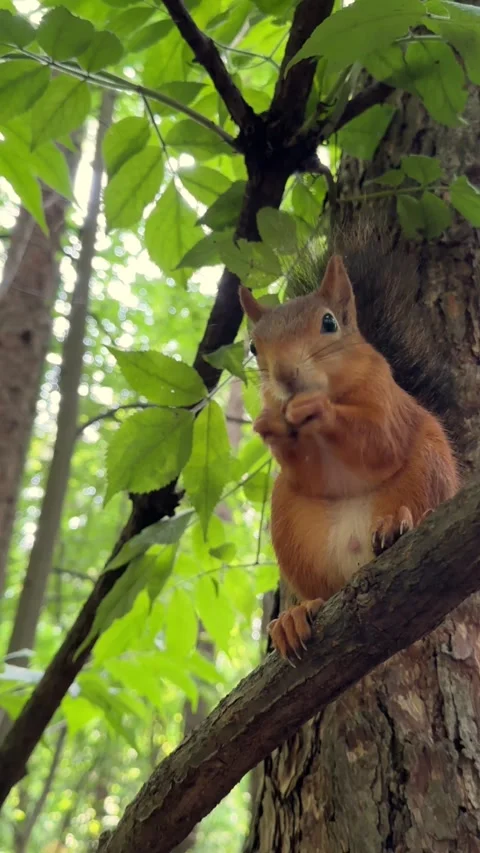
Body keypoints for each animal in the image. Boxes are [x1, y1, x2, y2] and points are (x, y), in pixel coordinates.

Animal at [239, 222, 460, 662]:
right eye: (253, 346)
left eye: (329, 323)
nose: (285, 375)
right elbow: (305, 469)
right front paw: (270, 425)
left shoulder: (387, 401)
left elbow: (377, 441)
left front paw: (320, 409)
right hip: (294, 530)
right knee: (324, 593)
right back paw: (295, 616)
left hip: (429, 470)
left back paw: (398, 526)